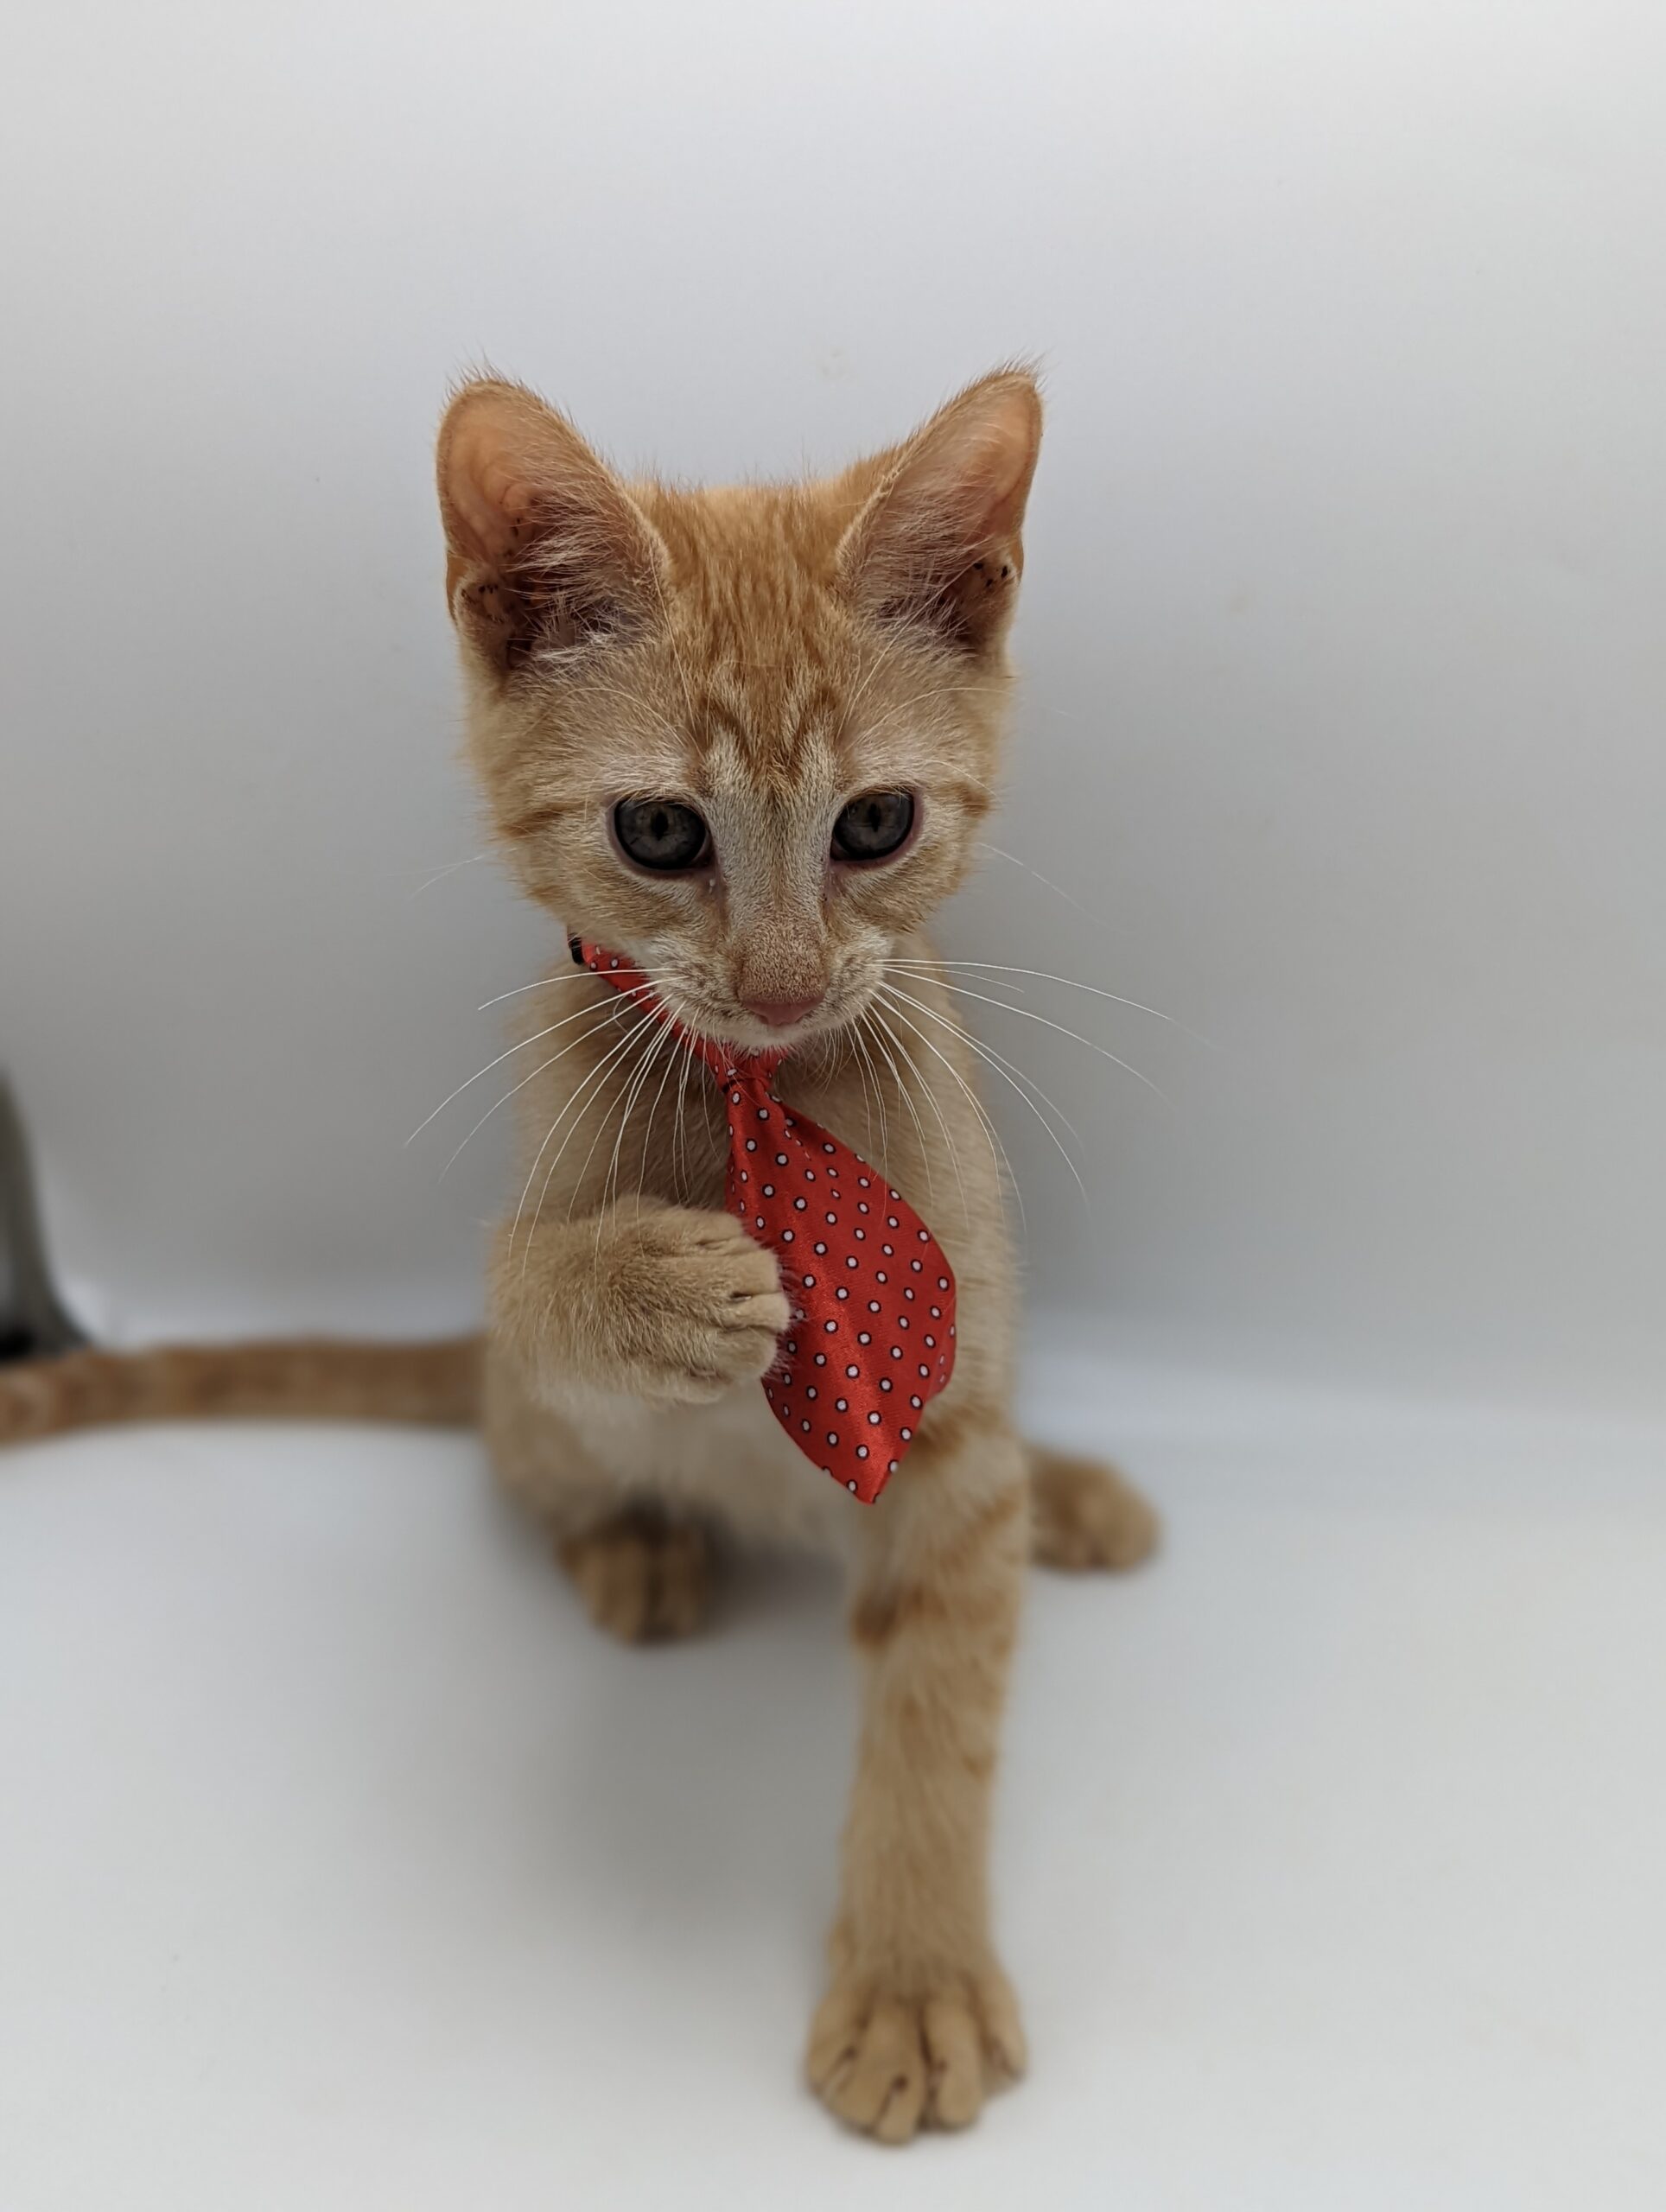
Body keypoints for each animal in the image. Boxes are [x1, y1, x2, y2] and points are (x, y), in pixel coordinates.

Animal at [0, 376, 1150, 2141]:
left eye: (876, 824)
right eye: (661, 830)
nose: (782, 982)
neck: (761, 1093)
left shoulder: (952, 1433)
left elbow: (937, 1718)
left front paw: (912, 1972)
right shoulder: (530, 1267)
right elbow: (531, 1287)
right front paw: (654, 1289)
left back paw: (1069, 1486)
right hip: (532, 1433)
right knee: (526, 1451)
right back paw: (636, 1542)